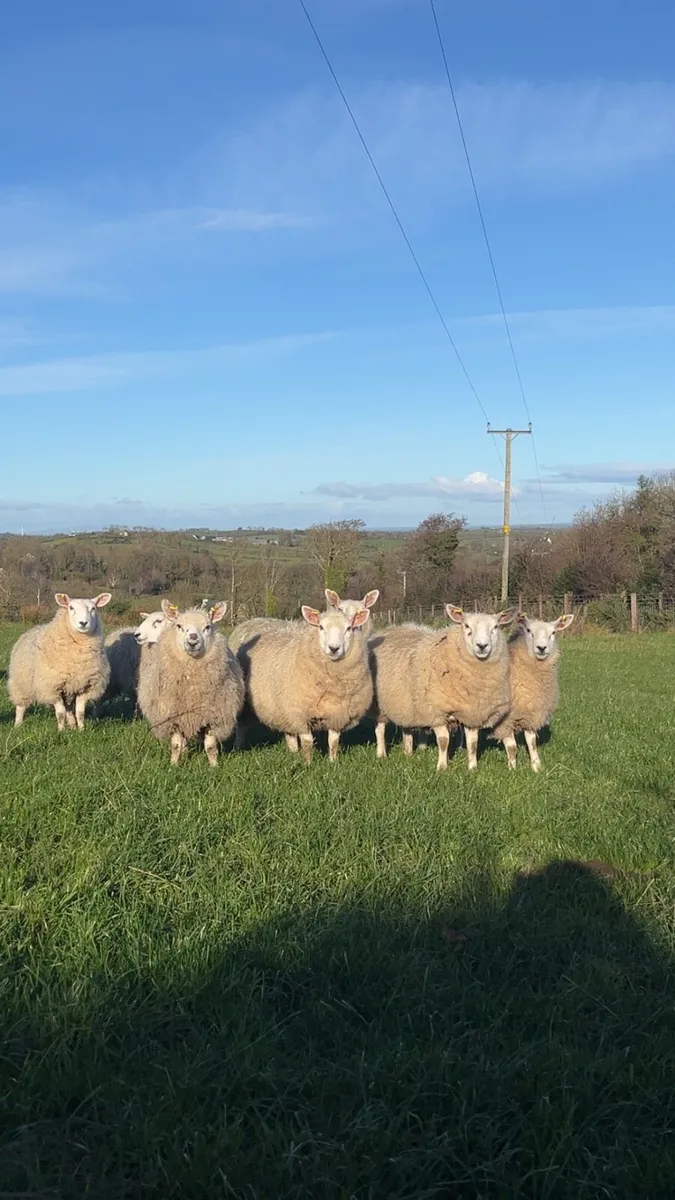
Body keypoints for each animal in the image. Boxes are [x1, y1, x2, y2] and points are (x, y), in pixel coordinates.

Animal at [8, 592, 112, 731]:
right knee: (21, 706)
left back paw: (72, 725)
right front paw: (61, 731)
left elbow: (80, 712)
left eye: (93, 608)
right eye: (71, 608)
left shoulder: (85, 686)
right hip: (20, 683)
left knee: (69, 709)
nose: (83, 623)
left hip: (68, 690)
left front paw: (81, 730)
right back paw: (18, 724)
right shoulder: (52, 687)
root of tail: (35, 627)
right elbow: (60, 713)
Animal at [137, 600, 244, 766]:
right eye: (179, 626)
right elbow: (176, 745)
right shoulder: (174, 716)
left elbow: (210, 747)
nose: (193, 640)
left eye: (208, 627)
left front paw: (214, 766)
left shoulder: (212, 716)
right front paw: (174, 765)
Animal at [231, 600, 372, 763]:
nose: (334, 648)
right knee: (241, 725)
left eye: (349, 628)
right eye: (321, 627)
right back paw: (238, 747)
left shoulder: (337, 714)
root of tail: (252, 620)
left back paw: (293, 752)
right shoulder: (300, 712)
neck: (330, 683)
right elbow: (307, 742)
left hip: (282, 707)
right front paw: (308, 763)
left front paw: (333, 761)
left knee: (289, 732)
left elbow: (333, 741)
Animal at [369, 605, 517, 771]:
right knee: (380, 728)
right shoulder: (436, 711)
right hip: (379, 704)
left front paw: (472, 768)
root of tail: (391, 628)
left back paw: (408, 752)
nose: (482, 646)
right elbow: (443, 740)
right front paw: (442, 767)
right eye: (466, 626)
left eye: (496, 627)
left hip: (406, 704)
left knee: (406, 727)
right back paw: (381, 753)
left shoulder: (471, 712)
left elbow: (473, 743)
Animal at [493, 612, 575, 772]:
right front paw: (512, 769)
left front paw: (536, 767)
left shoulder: (531, 712)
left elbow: (532, 744)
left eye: (553, 632)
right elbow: (512, 747)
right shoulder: (504, 720)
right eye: (529, 630)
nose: (541, 648)